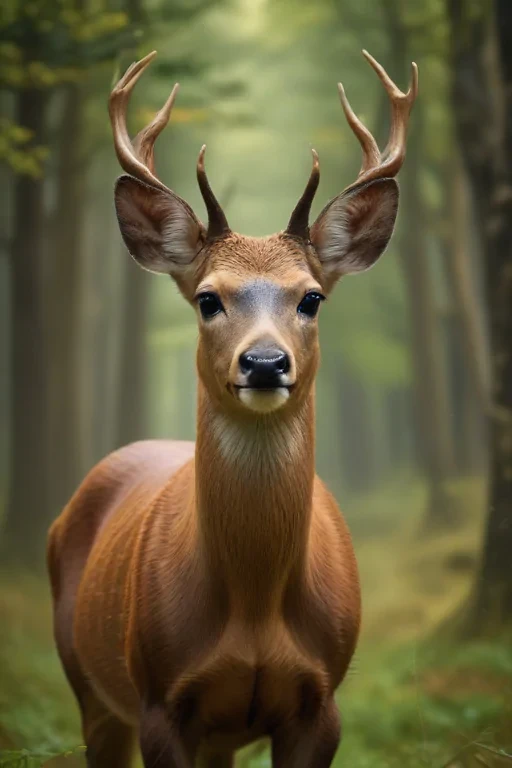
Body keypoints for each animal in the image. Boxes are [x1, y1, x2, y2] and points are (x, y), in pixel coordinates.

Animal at [47, 50, 417, 768]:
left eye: (311, 298)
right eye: (207, 298)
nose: (265, 363)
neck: (252, 610)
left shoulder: (322, 701)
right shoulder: (160, 699)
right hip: (91, 690)